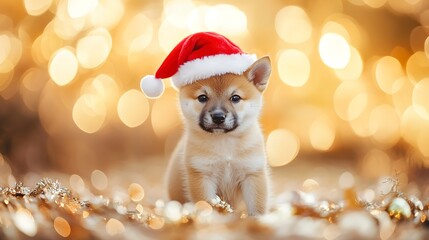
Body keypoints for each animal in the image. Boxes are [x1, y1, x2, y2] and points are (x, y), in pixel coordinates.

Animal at [165, 56, 270, 216]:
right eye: (203, 97)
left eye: (235, 98)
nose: (218, 117)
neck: (225, 144)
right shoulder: (202, 175)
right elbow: (206, 205)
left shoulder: (252, 174)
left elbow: (257, 208)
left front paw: (258, 220)